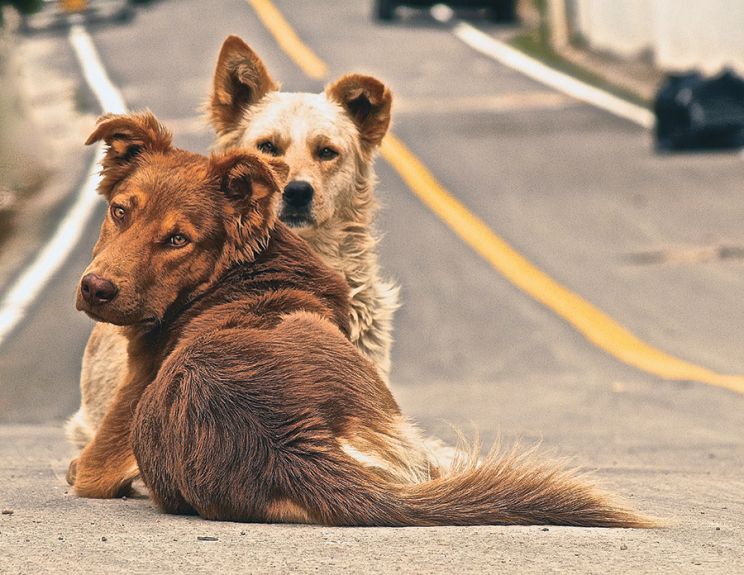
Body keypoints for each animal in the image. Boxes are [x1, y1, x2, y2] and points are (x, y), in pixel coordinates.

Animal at [71, 110, 652, 528]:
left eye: (178, 239)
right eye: (121, 211)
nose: (96, 289)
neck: (238, 270)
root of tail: (285, 443)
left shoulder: (100, 455)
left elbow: (87, 471)